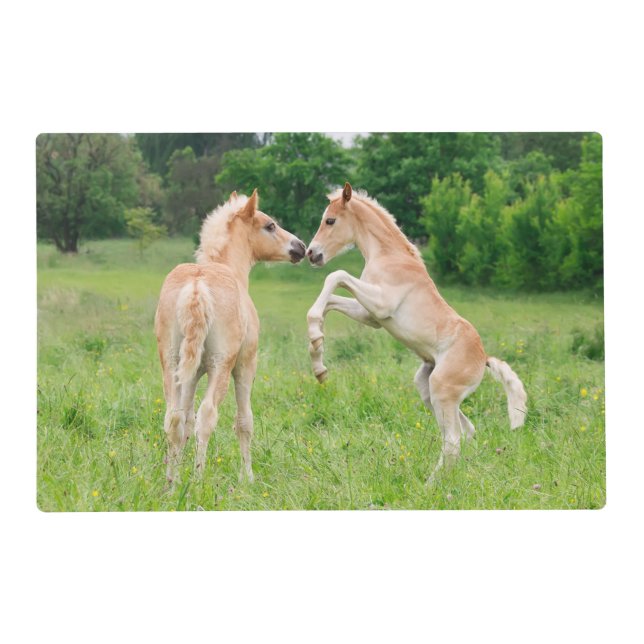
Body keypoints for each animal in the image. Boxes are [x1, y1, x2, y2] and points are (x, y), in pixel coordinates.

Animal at [155, 190, 306, 484]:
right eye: (270, 225)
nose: (300, 247)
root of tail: (197, 286)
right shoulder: (246, 365)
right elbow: (244, 421)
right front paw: (248, 477)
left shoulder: (192, 374)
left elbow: (185, 421)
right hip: (221, 365)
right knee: (207, 415)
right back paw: (198, 480)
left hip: (172, 363)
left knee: (174, 418)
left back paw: (171, 483)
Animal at [305, 182, 527, 480]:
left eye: (330, 220)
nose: (311, 253)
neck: (389, 256)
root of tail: (484, 359)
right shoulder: (371, 315)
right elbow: (330, 301)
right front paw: (318, 357)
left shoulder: (381, 304)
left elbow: (335, 276)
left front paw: (316, 343)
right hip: (428, 388)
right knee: (465, 432)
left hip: (442, 390)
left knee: (453, 440)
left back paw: (431, 484)